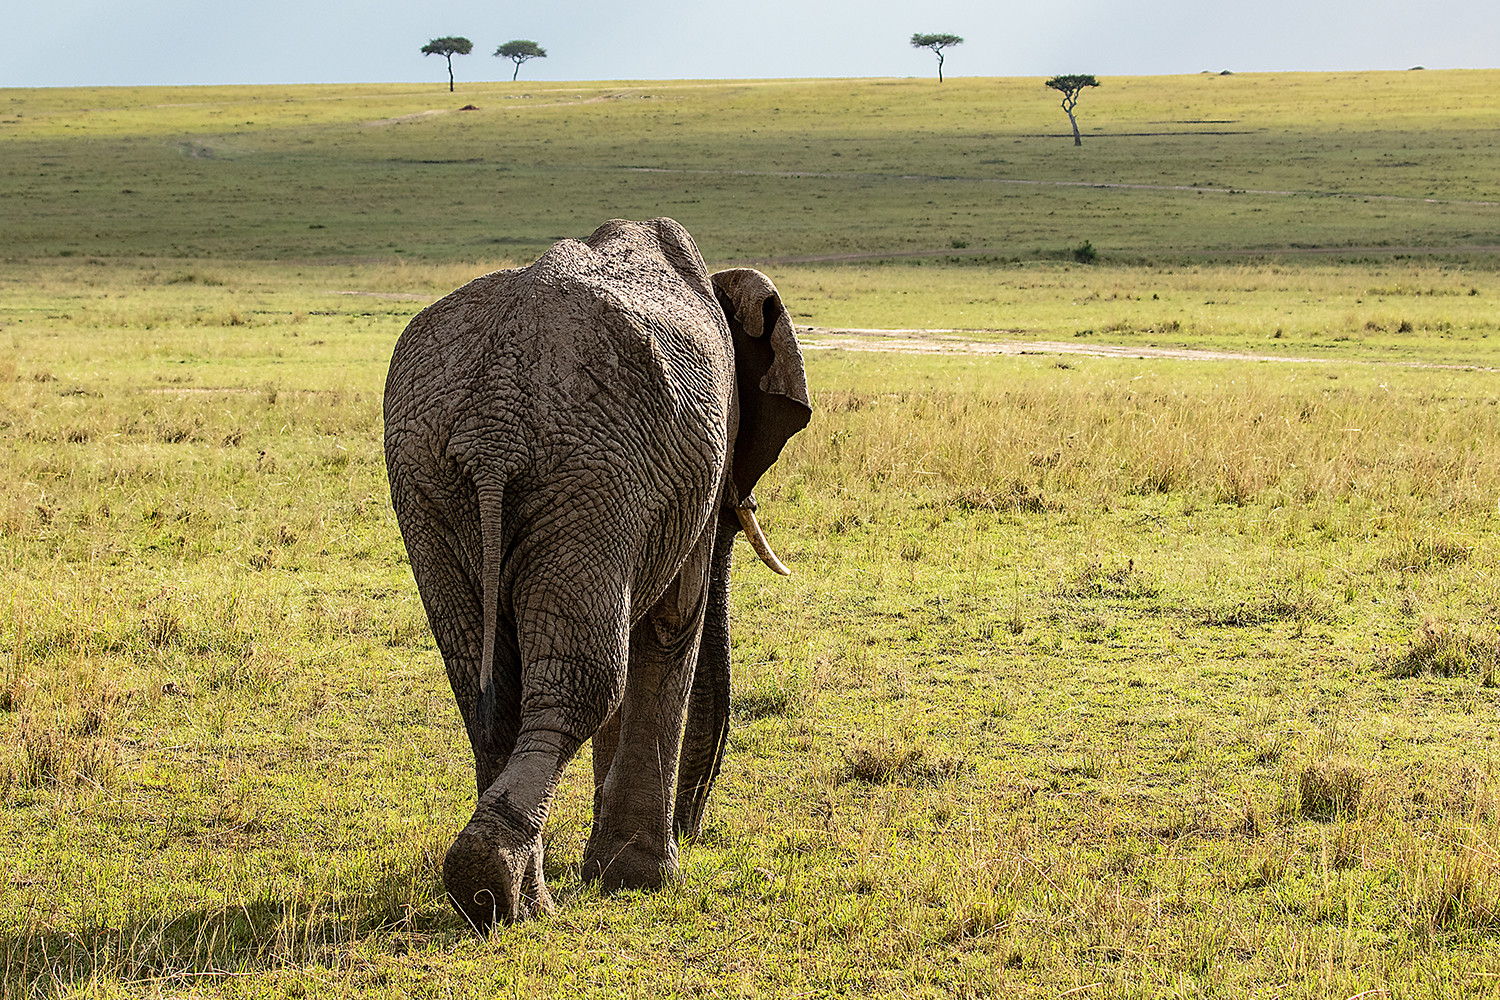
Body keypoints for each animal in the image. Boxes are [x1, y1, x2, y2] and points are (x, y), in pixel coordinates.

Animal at [381, 218, 816, 929]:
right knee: (581, 684)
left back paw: (512, 899)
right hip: (586, 482)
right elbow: (670, 623)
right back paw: (505, 893)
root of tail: (492, 426)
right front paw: (641, 881)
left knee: (486, 683)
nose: (696, 828)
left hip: (434, 479)